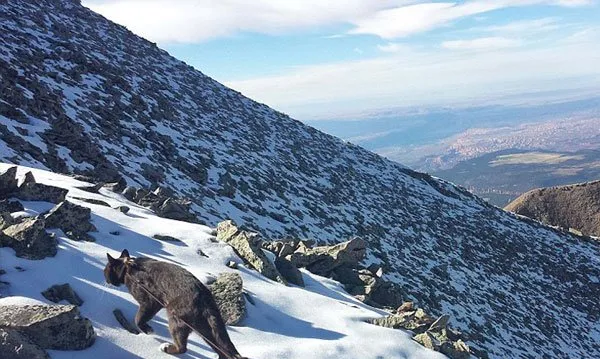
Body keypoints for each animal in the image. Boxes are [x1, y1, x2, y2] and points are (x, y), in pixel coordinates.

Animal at [104, 250, 247, 359]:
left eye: (105, 271)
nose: (105, 279)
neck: (127, 268)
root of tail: (205, 300)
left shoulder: (150, 301)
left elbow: (138, 318)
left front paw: (148, 330)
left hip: (175, 318)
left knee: (182, 347)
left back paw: (165, 348)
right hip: (206, 329)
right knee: (223, 351)